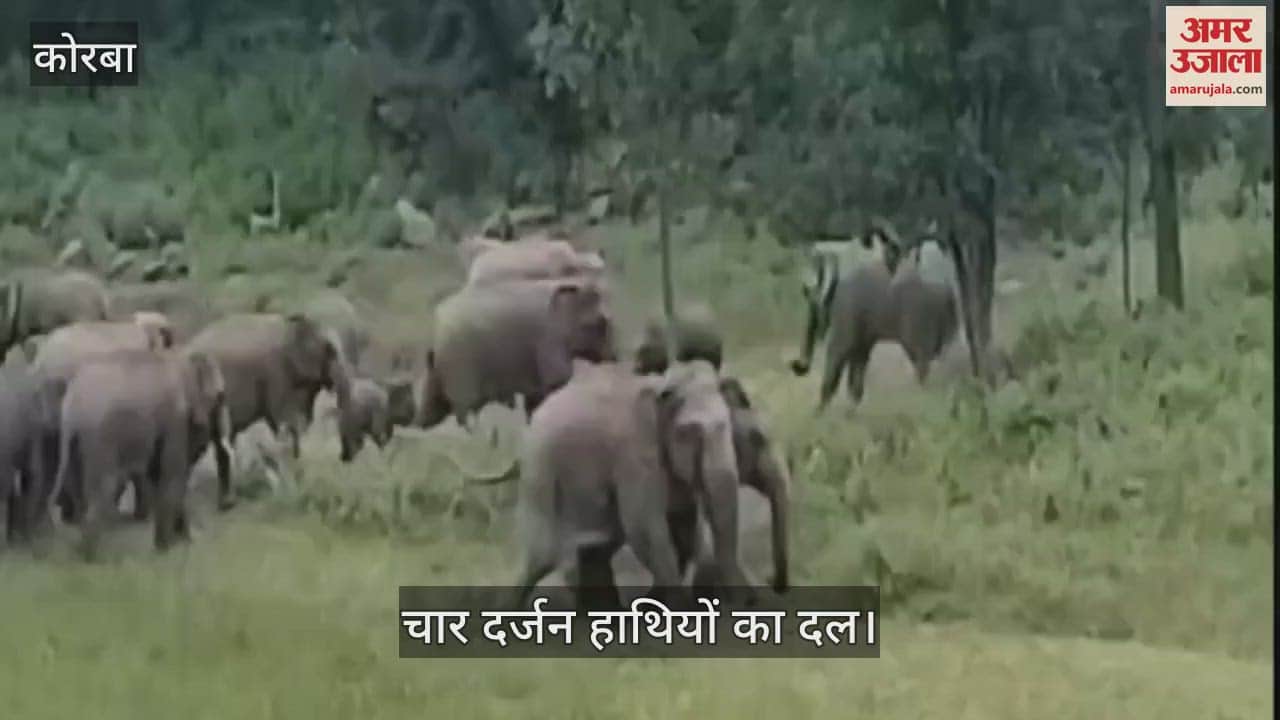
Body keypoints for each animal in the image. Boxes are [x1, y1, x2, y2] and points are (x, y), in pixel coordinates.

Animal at [53, 347, 231, 559]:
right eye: (220, 396)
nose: (228, 505)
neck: (180, 357)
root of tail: (71, 409)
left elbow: (157, 474)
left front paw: (175, 542)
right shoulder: (175, 420)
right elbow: (172, 474)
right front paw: (168, 548)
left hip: (75, 445)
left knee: (79, 494)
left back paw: (81, 552)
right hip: (101, 439)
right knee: (104, 487)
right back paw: (95, 559)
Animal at [412, 277, 617, 432]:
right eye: (601, 323)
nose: (615, 358)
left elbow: (534, 398)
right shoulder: (549, 341)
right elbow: (552, 386)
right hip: (460, 363)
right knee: (464, 409)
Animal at [510, 360, 755, 610]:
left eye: (726, 425)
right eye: (687, 433)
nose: (747, 602)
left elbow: (684, 521)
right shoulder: (634, 457)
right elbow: (644, 528)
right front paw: (679, 609)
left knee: (596, 547)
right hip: (539, 469)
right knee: (544, 554)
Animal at [790, 224, 958, 409]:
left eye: (807, 291)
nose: (795, 365)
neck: (836, 247)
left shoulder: (845, 304)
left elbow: (839, 351)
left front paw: (819, 413)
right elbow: (859, 362)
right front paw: (848, 411)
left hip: (921, 315)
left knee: (921, 358)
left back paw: (921, 397)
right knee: (940, 355)